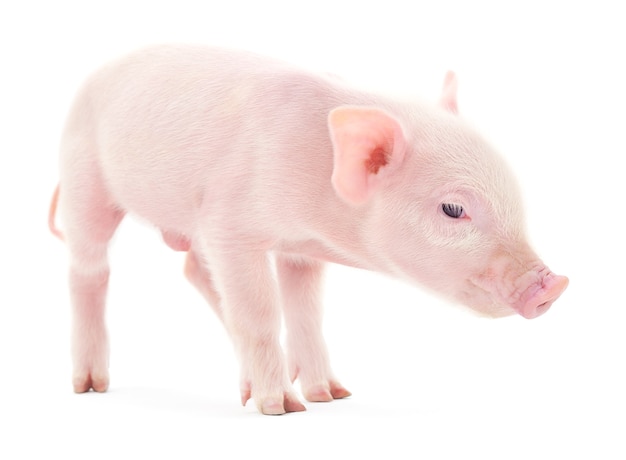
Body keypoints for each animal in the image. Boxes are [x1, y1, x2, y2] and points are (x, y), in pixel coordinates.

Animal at [47, 45, 564, 416]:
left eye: (514, 194)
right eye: (453, 209)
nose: (553, 285)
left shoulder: (300, 250)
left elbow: (306, 315)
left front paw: (331, 396)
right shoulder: (229, 224)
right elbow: (260, 313)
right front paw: (282, 409)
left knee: (195, 269)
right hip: (84, 178)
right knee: (89, 269)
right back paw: (89, 387)